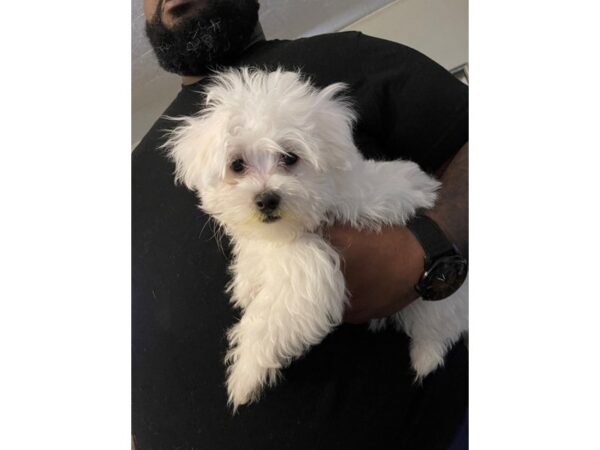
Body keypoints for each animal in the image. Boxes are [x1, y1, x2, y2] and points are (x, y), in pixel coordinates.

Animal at [165, 68, 468, 410]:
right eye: (237, 165)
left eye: (289, 157)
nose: (267, 199)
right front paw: (246, 282)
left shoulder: (309, 266)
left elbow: (268, 318)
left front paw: (245, 375)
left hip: (441, 299)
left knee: (440, 325)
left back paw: (425, 357)